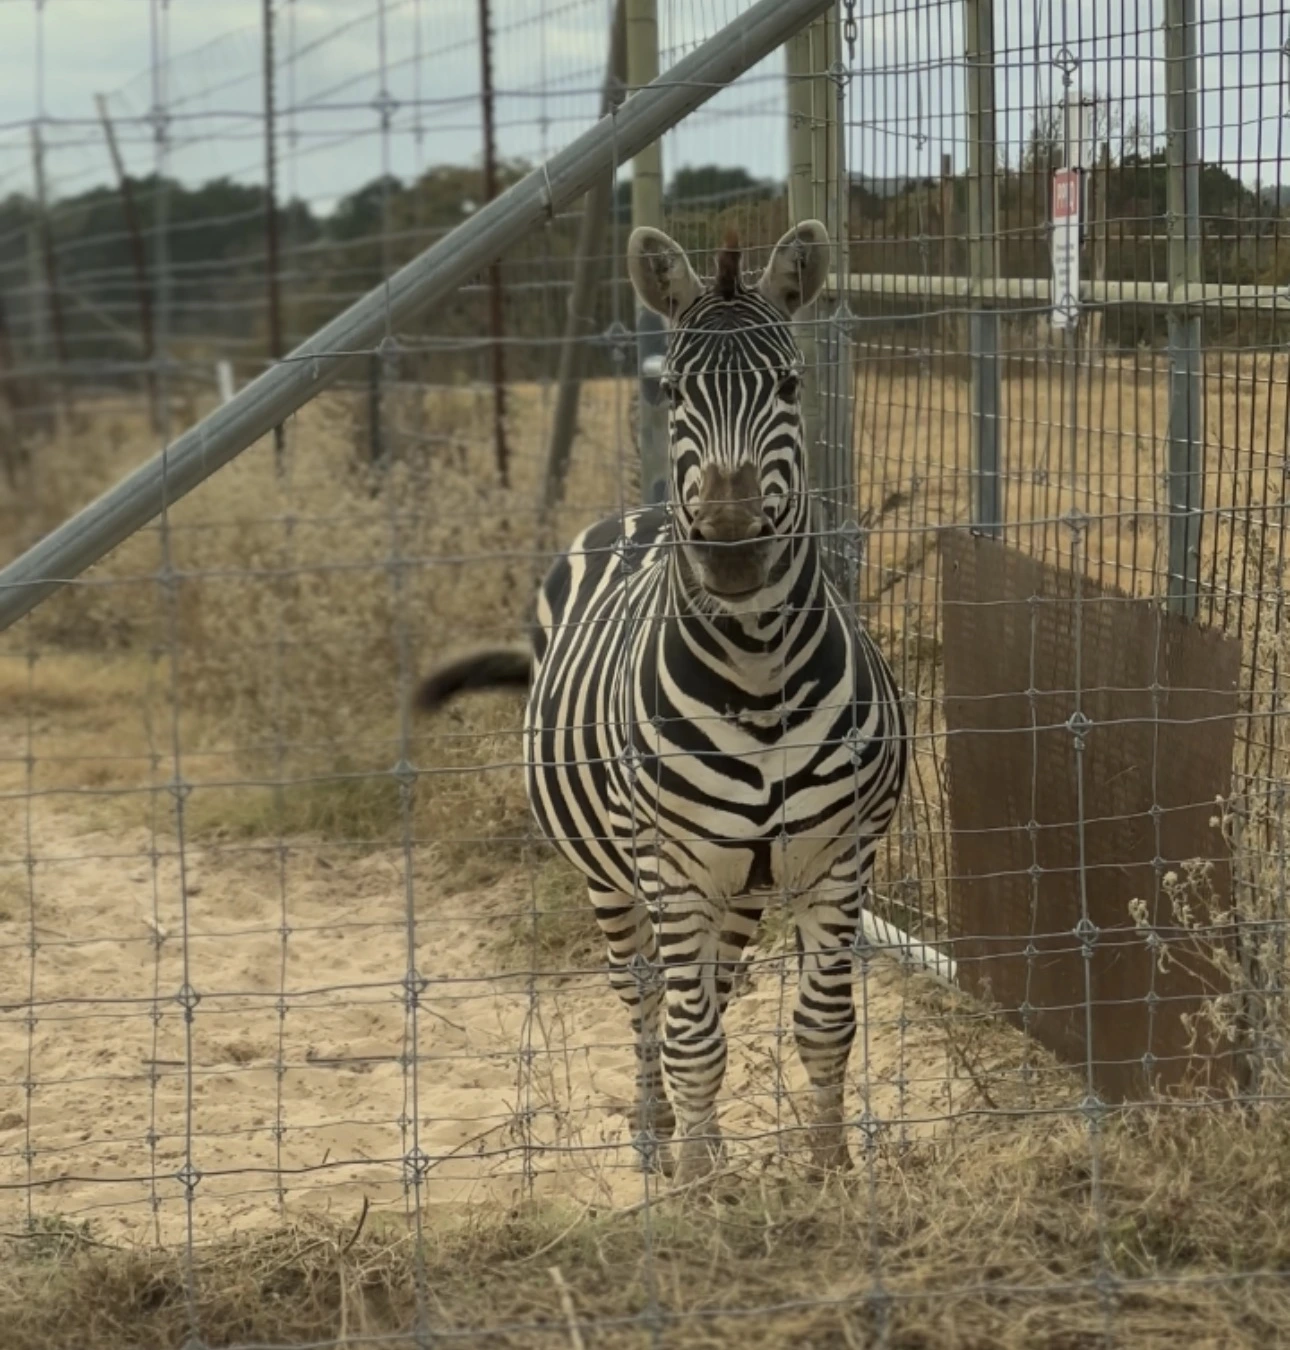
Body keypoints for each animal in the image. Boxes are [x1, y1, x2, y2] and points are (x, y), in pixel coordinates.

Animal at [417, 220, 908, 1181]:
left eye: (791, 384)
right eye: (675, 390)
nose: (731, 548)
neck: (758, 673)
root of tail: (638, 509)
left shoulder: (840, 858)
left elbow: (824, 1027)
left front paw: (827, 1174)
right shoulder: (670, 867)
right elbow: (691, 1038)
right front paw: (700, 1189)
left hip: (741, 885)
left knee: (710, 987)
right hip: (613, 873)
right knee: (646, 996)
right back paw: (658, 1133)